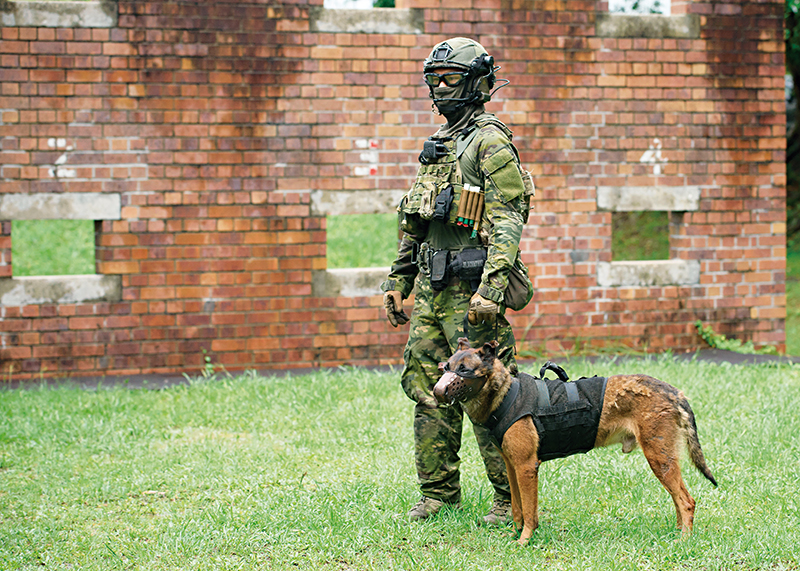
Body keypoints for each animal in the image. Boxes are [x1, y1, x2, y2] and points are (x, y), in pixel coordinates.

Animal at [434, 340, 716, 544]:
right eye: (447, 367)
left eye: (464, 370)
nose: (438, 391)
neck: (505, 395)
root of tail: (673, 391)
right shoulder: (512, 467)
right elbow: (517, 509)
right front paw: (514, 535)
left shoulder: (526, 468)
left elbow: (530, 513)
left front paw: (524, 541)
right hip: (664, 460)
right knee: (679, 501)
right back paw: (677, 532)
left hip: (660, 459)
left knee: (687, 501)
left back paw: (683, 540)